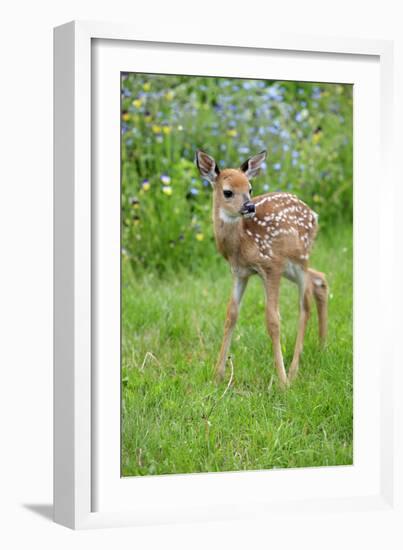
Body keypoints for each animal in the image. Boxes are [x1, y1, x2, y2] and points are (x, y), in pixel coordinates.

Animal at [196, 149, 328, 386]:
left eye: (250, 188)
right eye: (228, 192)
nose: (249, 207)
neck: (242, 242)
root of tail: (314, 214)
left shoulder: (271, 266)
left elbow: (273, 320)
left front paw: (282, 381)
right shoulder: (240, 272)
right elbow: (231, 315)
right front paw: (217, 376)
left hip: (300, 259)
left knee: (304, 305)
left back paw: (293, 371)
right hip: (292, 266)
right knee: (319, 279)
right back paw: (322, 346)